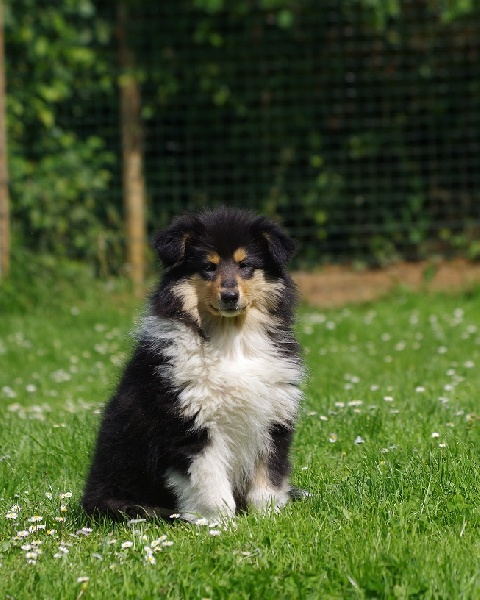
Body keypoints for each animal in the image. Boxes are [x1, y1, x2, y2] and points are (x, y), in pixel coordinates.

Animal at [82, 207, 303, 521]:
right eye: (208, 267)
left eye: (245, 265)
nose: (230, 296)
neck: (230, 339)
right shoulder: (191, 426)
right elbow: (210, 483)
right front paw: (220, 524)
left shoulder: (273, 418)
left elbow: (268, 477)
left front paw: (269, 518)